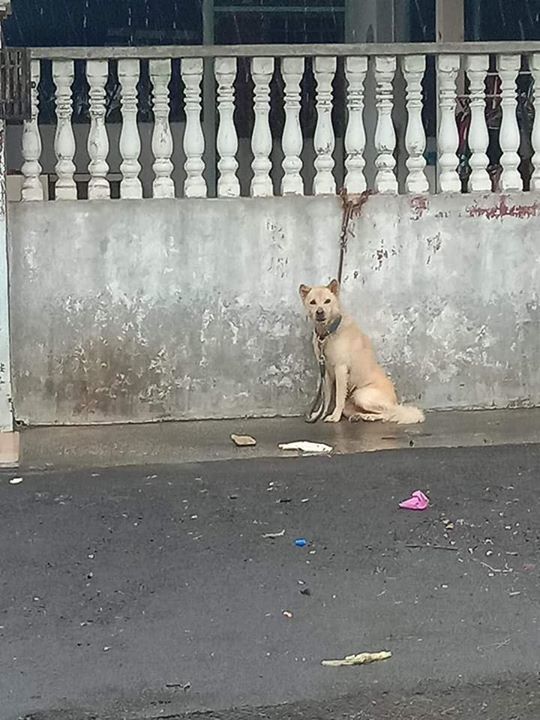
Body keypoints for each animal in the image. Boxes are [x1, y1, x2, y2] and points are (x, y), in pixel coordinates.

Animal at [300, 278, 422, 422]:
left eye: (327, 301)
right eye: (312, 302)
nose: (320, 312)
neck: (328, 333)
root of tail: (395, 402)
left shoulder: (340, 368)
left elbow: (338, 397)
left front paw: (335, 416)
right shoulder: (326, 372)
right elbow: (327, 398)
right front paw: (320, 414)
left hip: (361, 395)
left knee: (389, 413)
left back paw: (369, 416)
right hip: (351, 403)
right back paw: (359, 416)